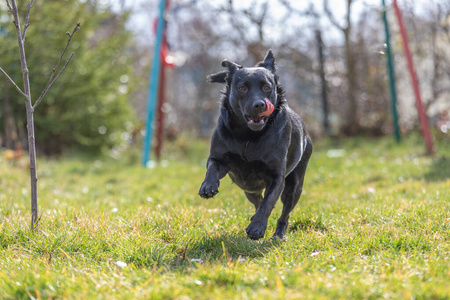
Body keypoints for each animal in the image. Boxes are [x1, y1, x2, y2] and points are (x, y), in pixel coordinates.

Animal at [199, 50, 312, 240]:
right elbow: (212, 168)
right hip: (249, 189)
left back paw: (278, 233)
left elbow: (268, 202)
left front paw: (257, 227)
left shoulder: (277, 178)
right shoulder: (220, 159)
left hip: (294, 187)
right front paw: (208, 186)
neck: (248, 136)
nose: (259, 104)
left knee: (283, 212)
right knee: (257, 200)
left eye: (267, 87)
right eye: (242, 88)